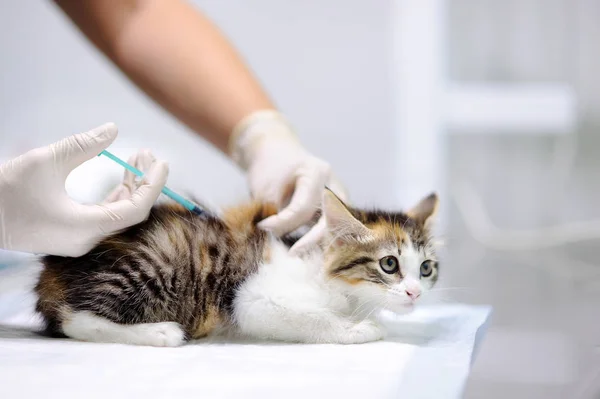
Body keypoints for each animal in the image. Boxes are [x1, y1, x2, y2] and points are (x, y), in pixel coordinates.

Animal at [35, 189, 438, 346]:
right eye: (389, 264)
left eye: (427, 268)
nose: (415, 292)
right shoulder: (252, 298)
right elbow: (312, 319)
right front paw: (356, 329)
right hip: (156, 260)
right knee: (75, 319)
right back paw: (159, 332)